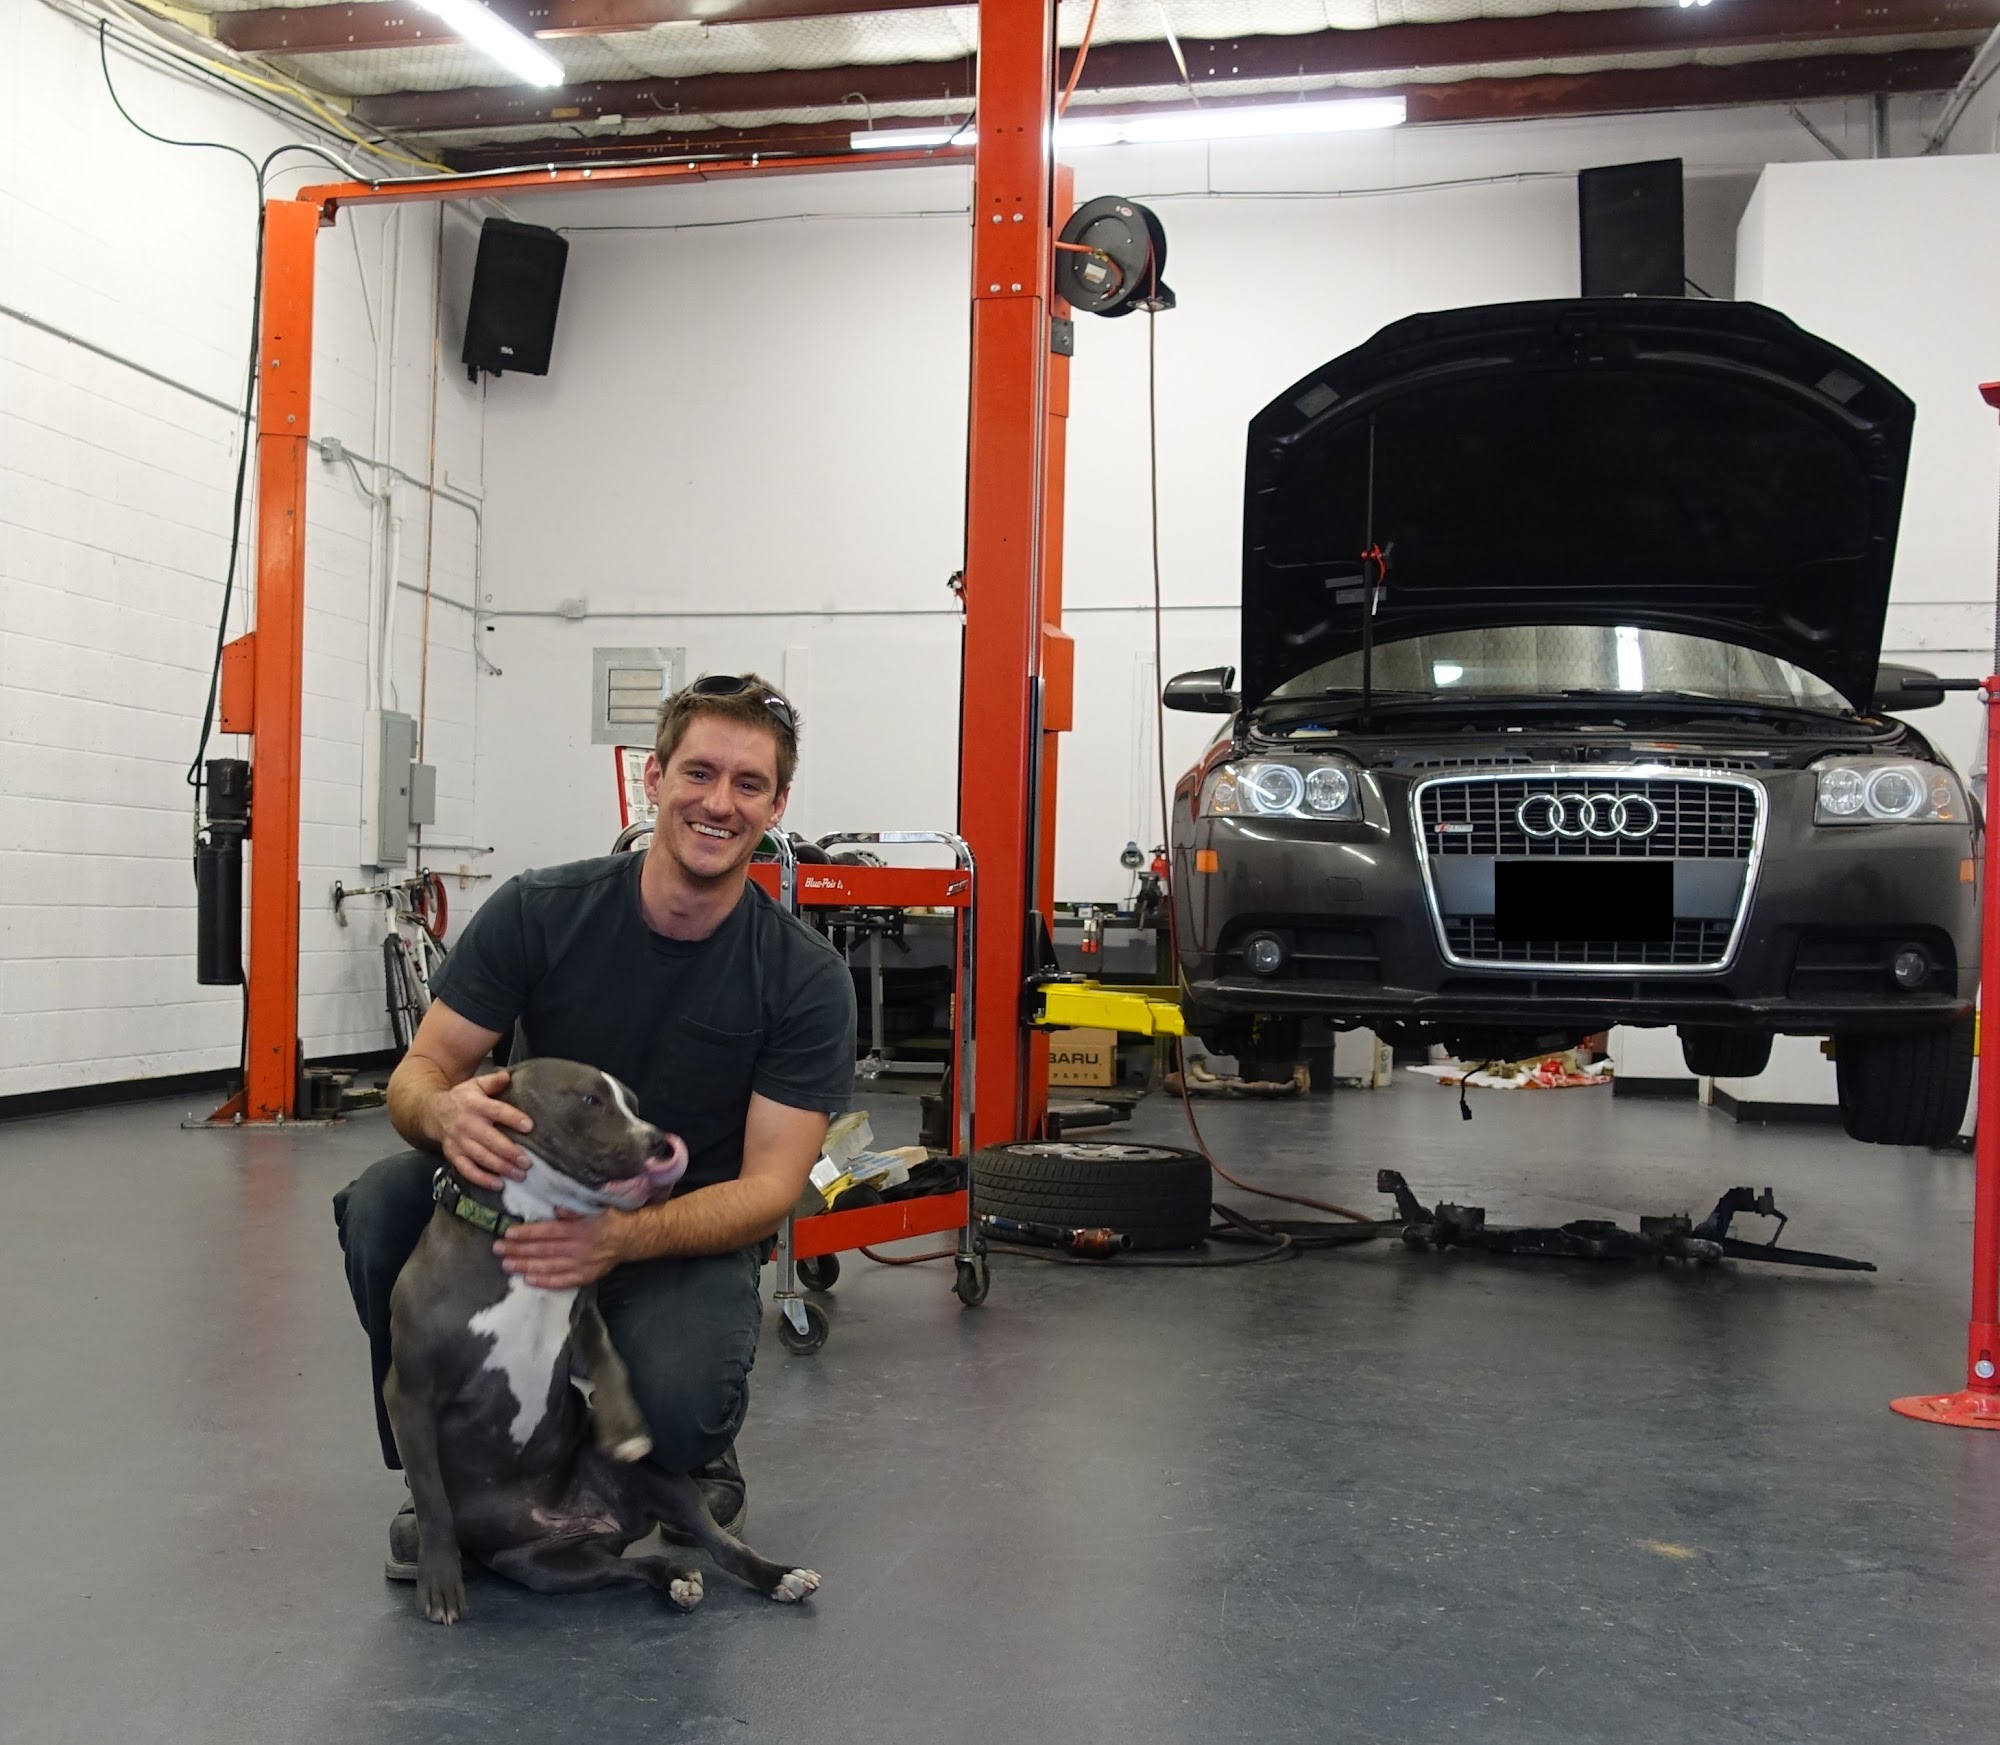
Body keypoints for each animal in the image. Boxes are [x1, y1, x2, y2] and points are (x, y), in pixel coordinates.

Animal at [384, 1056, 821, 1625]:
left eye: (632, 1104)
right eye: (590, 1100)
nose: (660, 1142)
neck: (519, 1225)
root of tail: (600, 1524)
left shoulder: (580, 1324)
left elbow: (612, 1361)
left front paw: (626, 1424)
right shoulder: (409, 1394)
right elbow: (433, 1499)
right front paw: (440, 1584)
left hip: (662, 1485)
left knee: (721, 1546)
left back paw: (778, 1576)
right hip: (552, 1569)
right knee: (635, 1567)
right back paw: (675, 1576)